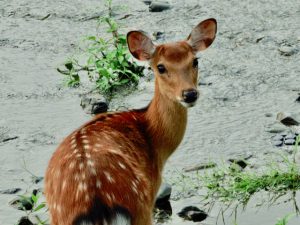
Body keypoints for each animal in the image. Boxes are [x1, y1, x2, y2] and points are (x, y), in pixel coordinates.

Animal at [44, 18, 217, 224]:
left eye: (195, 61)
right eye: (161, 67)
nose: (189, 94)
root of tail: (96, 202)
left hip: (59, 215)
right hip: (140, 206)